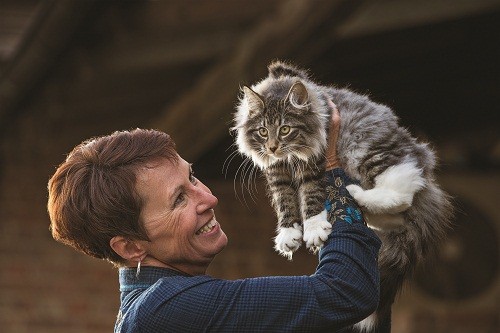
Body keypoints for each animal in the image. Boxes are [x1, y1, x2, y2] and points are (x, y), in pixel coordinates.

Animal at [230, 61, 454, 330]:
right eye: (263, 131)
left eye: (285, 129)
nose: (272, 147)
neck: (291, 156)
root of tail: (426, 164)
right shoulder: (277, 172)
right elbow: (284, 202)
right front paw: (288, 234)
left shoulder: (314, 160)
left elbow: (311, 196)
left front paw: (314, 229)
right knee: (398, 213)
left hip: (367, 151)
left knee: (405, 185)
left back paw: (358, 194)